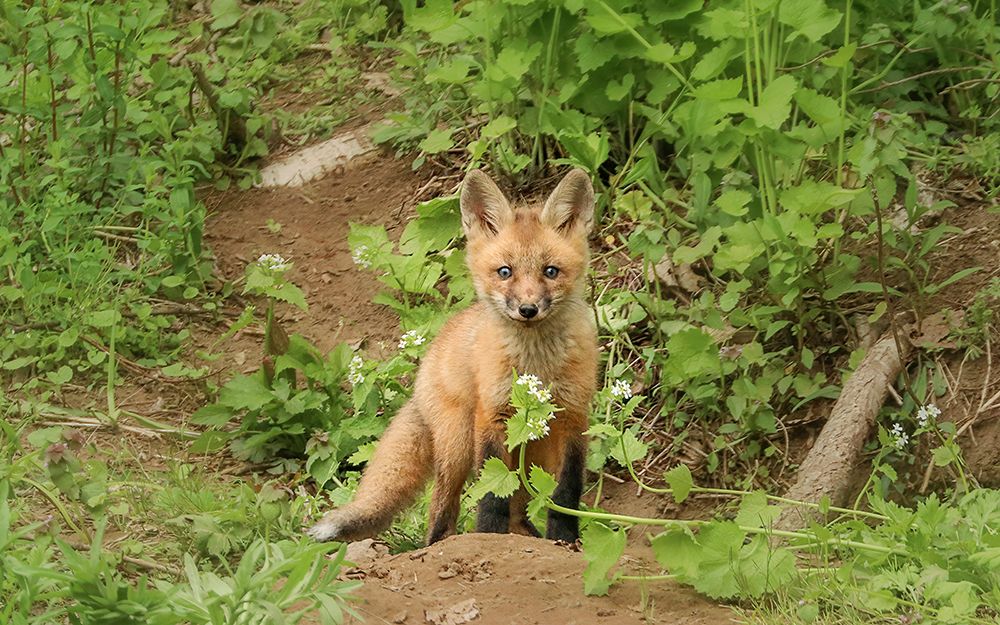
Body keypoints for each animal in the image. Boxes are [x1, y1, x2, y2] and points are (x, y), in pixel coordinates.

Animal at [307, 168, 598, 545]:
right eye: (505, 272)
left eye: (551, 271)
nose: (528, 309)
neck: (536, 365)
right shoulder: (492, 416)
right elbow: (491, 493)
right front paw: (488, 536)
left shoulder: (573, 419)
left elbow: (566, 492)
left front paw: (565, 540)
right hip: (459, 444)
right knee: (442, 510)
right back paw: (439, 544)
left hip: (533, 449)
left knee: (518, 508)